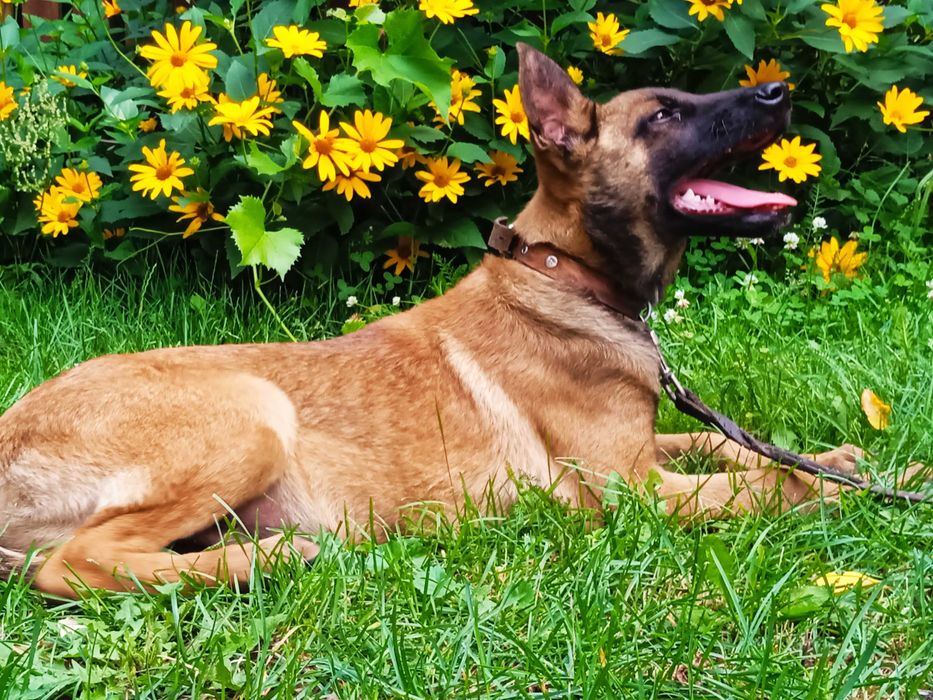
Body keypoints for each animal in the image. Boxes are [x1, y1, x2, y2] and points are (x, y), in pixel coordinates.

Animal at [0, 44, 879, 597]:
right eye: (662, 117)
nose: (778, 92)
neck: (562, 273)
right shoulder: (631, 490)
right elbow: (763, 481)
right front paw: (862, 484)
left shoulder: (642, 447)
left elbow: (729, 445)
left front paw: (834, 456)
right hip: (252, 415)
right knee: (74, 565)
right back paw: (272, 560)